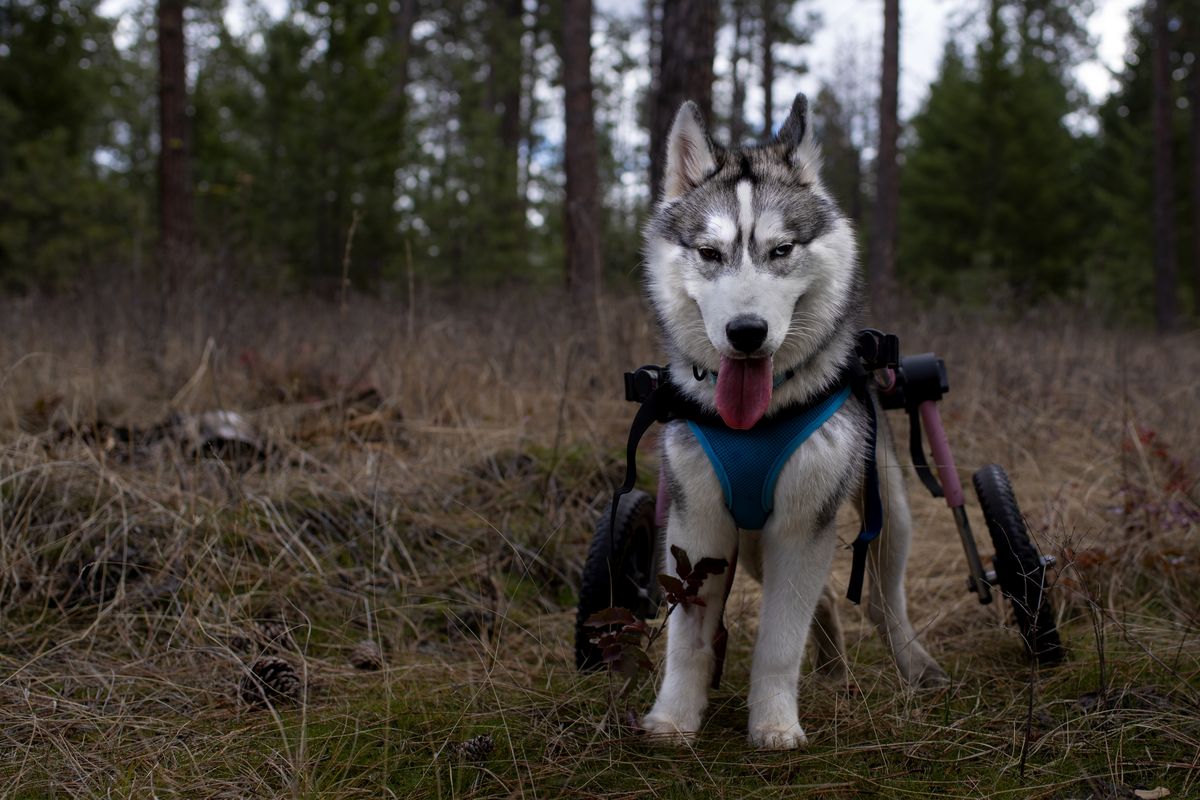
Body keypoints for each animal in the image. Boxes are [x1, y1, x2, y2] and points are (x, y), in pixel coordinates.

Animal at [643, 95, 940, 753]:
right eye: (709, 253)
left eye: (781, 250)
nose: (746, 332)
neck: (757, 420)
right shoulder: (698, 523)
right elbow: (687, 641)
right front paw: (674, 719)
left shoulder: (803, 523)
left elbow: (780, 643)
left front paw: (775, 723)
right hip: (754, 544)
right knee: (825, 596)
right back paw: (831, 666)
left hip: (887, 514)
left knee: (883, 600)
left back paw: (914, 663)